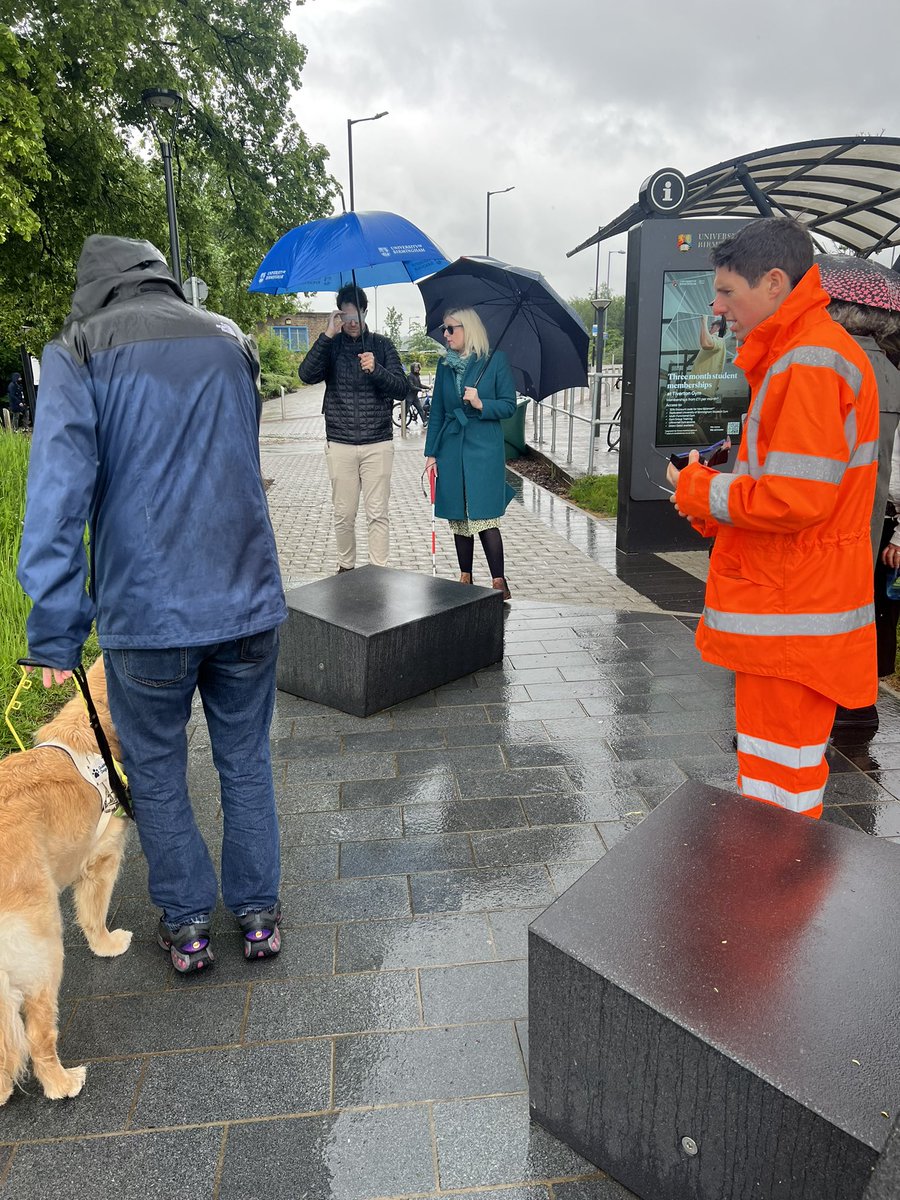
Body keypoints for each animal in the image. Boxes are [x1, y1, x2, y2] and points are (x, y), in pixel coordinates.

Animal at [0, 657, 132, 1104]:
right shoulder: (103, 857)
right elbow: (94, 915)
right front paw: (107, 945)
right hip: (43, 947)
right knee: (37, 1035)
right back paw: (62, 1083)